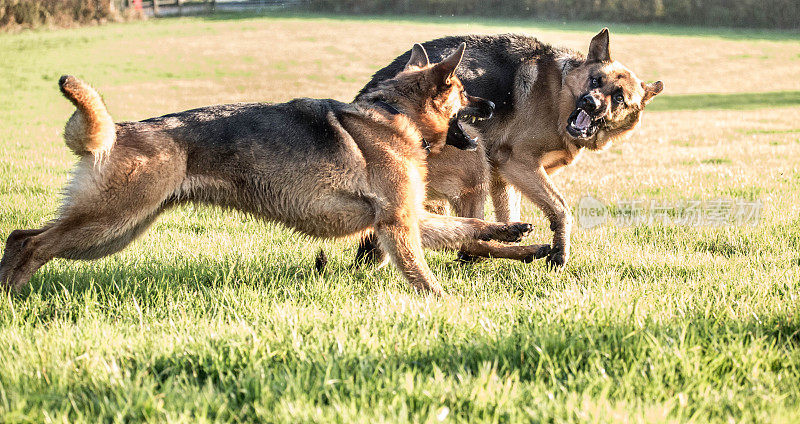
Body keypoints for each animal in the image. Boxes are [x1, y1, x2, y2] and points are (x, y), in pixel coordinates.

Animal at [3, 43, 536, 294]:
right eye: (465, 94)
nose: (493, 105)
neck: (394, 113)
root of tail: (119, 130)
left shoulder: (407, 219)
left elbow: (467, 227)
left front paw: (513, 234)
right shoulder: (398, 225)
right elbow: (424, 273)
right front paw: (442, 302)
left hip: (116, 229)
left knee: (19, 235)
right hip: (110, 221)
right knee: (30, 242)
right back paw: (13, 294)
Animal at [360, 29, 664, 268]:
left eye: (619, 98)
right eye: (595, 81)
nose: (590, 103)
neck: (560, 91)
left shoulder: (505, 177)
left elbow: (511, 211)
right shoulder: (517, 163)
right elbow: (561, 207)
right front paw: (560, 252)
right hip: (475, 158)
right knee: (469, 240)